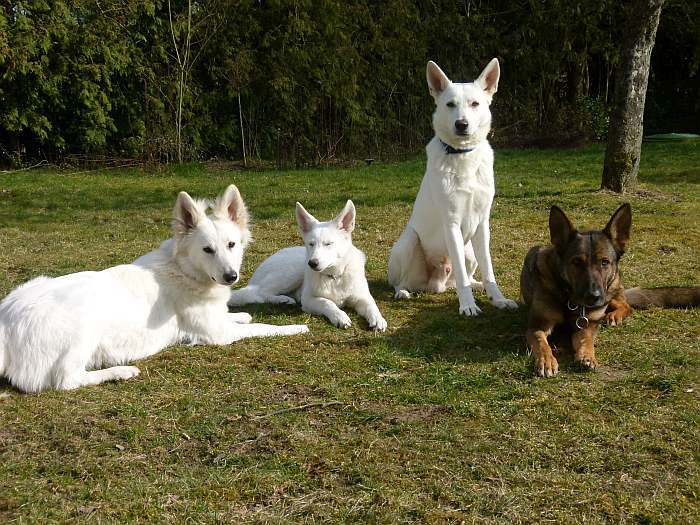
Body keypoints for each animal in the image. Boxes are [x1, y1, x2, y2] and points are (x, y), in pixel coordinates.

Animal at [0, 185, 308, 392]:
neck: (184, 271)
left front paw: (242, 313)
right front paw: (295, 328)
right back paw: (120, 372)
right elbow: (263, 327)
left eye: (231, 245)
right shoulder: (218, 334)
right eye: (207, 250)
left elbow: (239, 316)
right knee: (66, 380)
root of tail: (6, 321)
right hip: (86, 327)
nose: (231, 276)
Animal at [228, 201, 388, 332]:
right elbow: (327, 302)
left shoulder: (362, 297)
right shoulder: (308, 299)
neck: (334, 277)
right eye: (311, 244)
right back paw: (283, 300)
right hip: (293, 271)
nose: (312, 263)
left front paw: (378, 319)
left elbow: (372, 305)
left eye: (328, 244)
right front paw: (339, 316)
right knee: (260, 293)